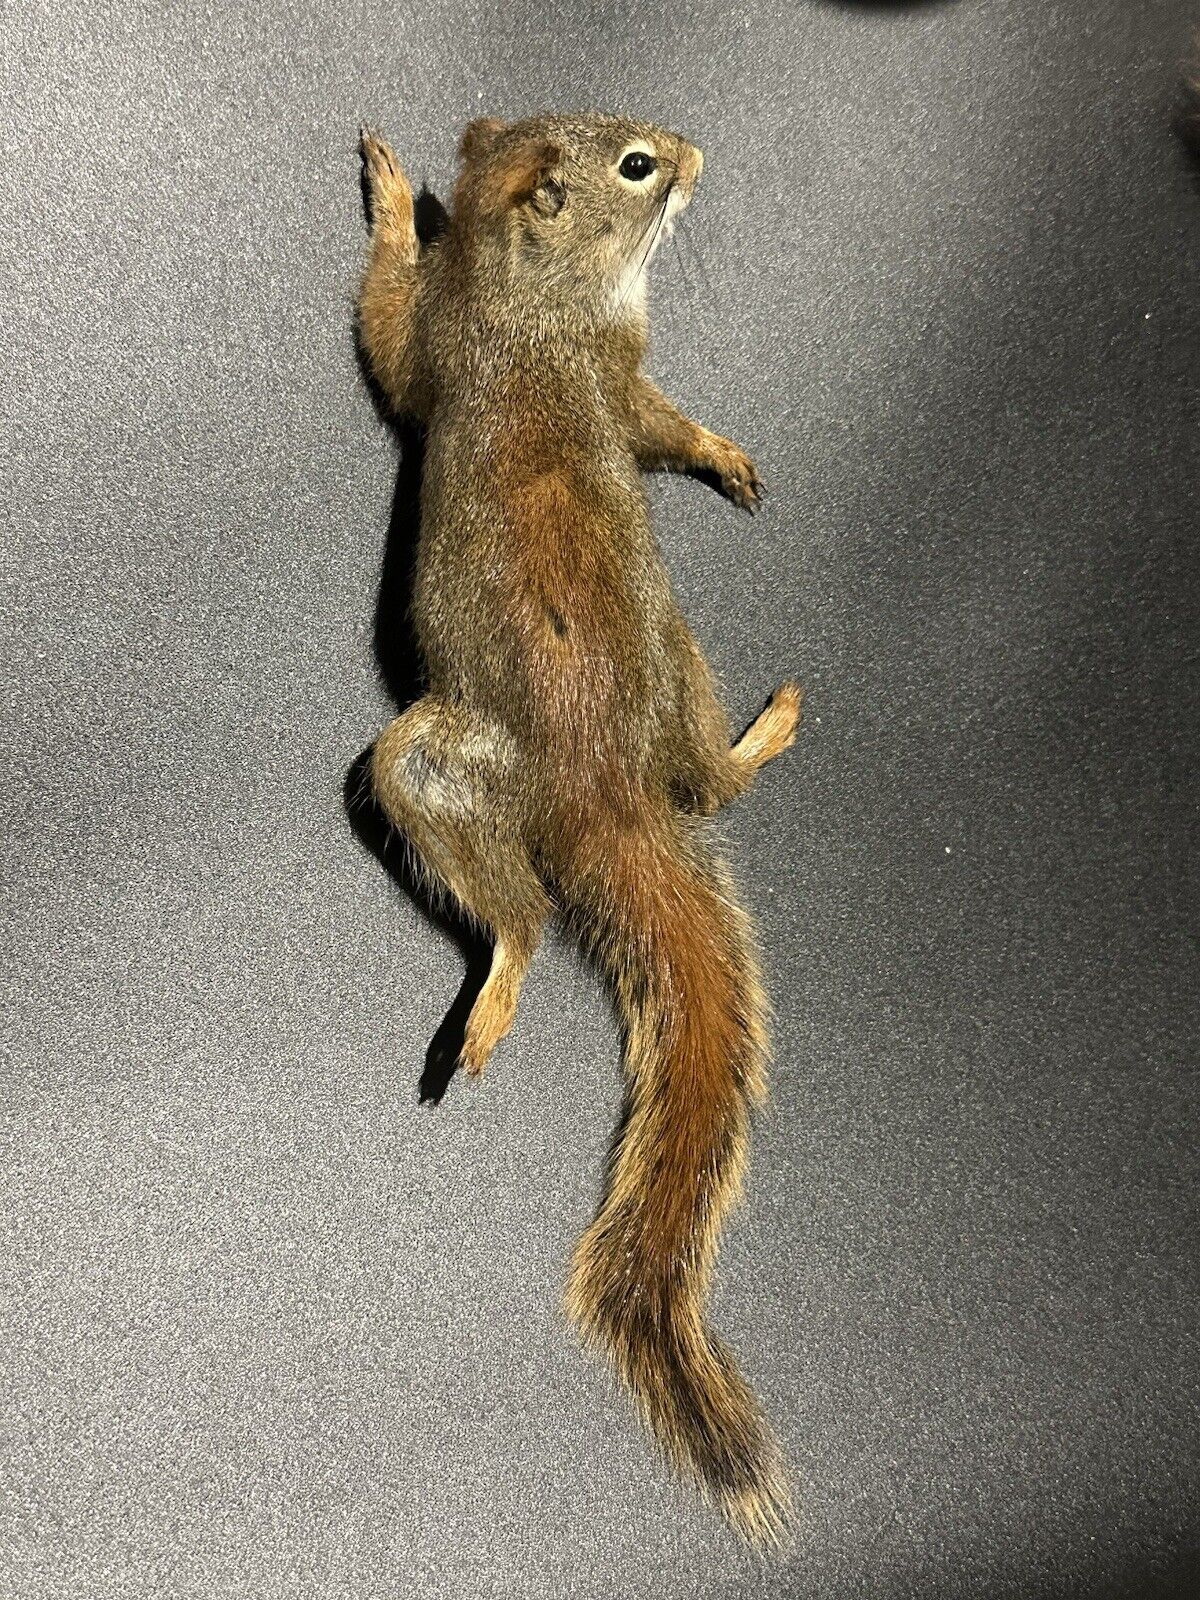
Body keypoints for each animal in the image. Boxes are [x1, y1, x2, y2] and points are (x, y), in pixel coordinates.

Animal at [357, 113, 802, 1544]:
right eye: (636, 168)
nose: (696, 153)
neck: (527, 293)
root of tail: (600, 795)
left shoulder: (508, 346)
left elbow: (398, 341)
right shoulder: (512, 344)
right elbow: (393, 324)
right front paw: (394, 192)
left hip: (473, 749)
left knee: (542, 902)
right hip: (599, 696)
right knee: (616, 854)